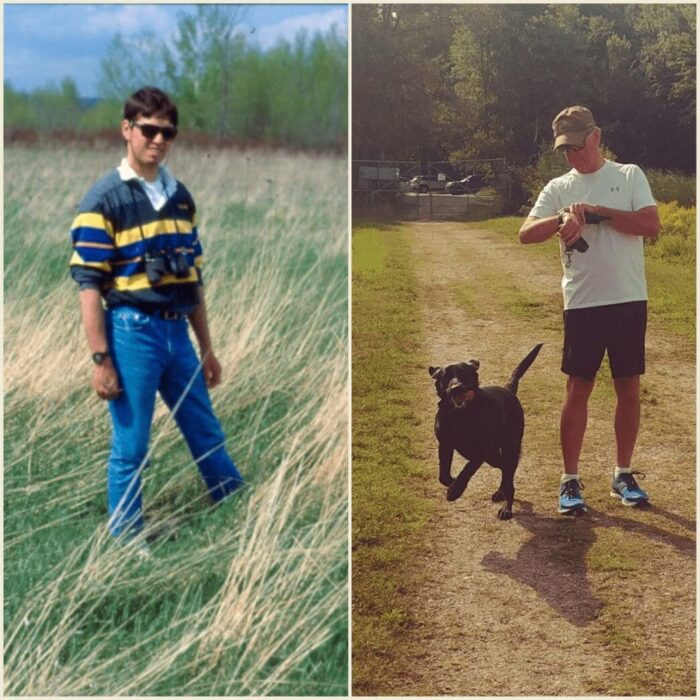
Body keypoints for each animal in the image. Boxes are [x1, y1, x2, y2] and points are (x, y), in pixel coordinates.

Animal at [430, 344, 544, 520]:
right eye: (446, 377)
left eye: (463, 374)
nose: (456, 388)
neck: (460, 415)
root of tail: (508, 389)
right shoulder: (445, 445)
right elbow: (443, 475)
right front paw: (453, 483)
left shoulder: (482, 450)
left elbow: (467, 469)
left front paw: (456, 490)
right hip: (494, 456)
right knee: (505, 471)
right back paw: (501, 492)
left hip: (508, 448)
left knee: (509, 474)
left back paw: (506, 508)